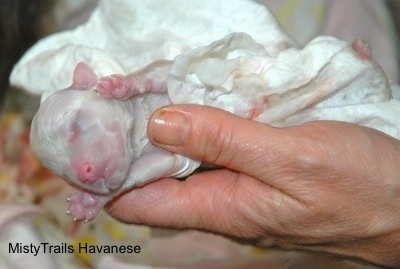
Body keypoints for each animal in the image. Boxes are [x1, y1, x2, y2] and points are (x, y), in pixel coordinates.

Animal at [30, 60, 200, 220]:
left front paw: (119, 86)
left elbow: (164, 68)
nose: (85, 173)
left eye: (75, 123)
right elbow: (157, 162)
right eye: (62, 173)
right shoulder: (160, 154)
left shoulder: (177, 76)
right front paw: (90, 200)